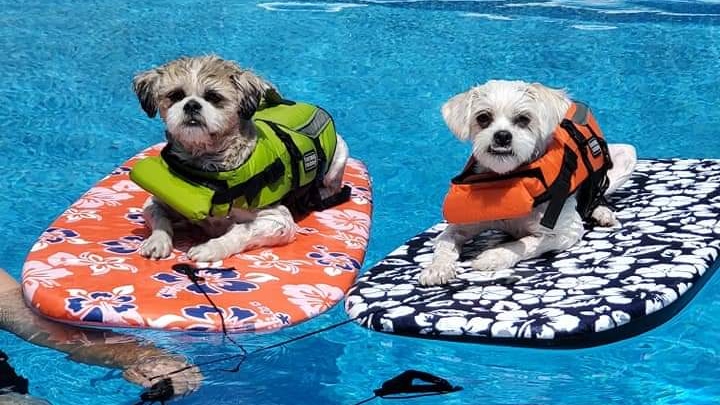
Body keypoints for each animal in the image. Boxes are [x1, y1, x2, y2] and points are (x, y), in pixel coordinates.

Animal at [134, 55, 350, 260]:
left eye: (214, 97)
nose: (191, 105)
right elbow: (157, 214)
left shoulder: (278, 219)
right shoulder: (157, 201)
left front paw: (211, 247)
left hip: (339, 155)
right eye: (175, 95)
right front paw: (157, 240)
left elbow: (240, 231)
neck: (205, 165)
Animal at [416, 80, 636, 286]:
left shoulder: (567, 232)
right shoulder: (457, 227)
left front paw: (494, 256)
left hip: (627, 156)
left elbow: (526, 243)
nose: (502, 135)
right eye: (483, 117)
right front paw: (437, 268)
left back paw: (601, 212)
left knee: (598, 196)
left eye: (523, 119)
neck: (506, 179)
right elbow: (444, 244)